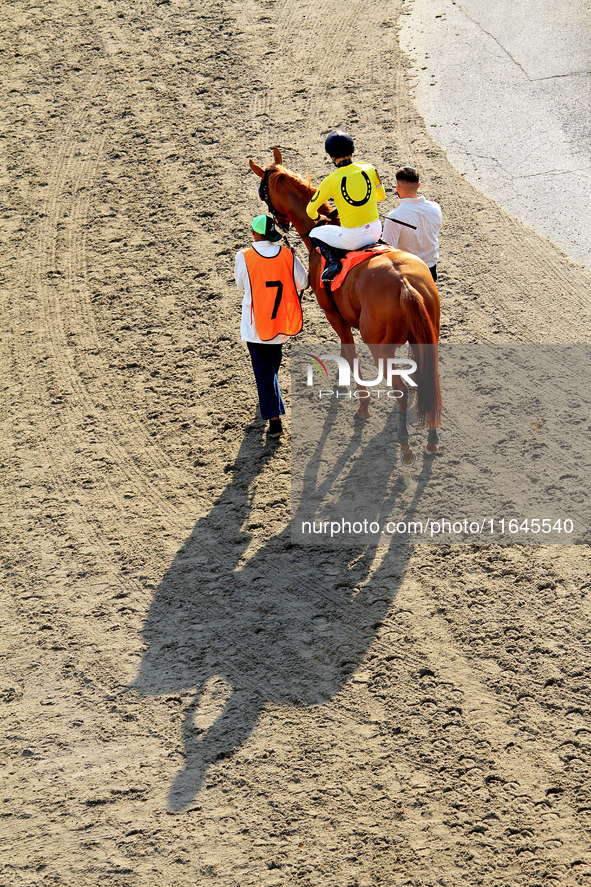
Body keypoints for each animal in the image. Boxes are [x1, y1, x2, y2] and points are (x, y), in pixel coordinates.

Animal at [251, 147, 444, 464]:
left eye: (263, 190)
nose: (277, 223)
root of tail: (404, 283)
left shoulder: (334, 315)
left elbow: (351, 353)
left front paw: (362, 405)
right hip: (427, 335)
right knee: (428, 376)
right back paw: (431, 438)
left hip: (380, 347)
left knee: (401, 388)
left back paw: (405, 444)